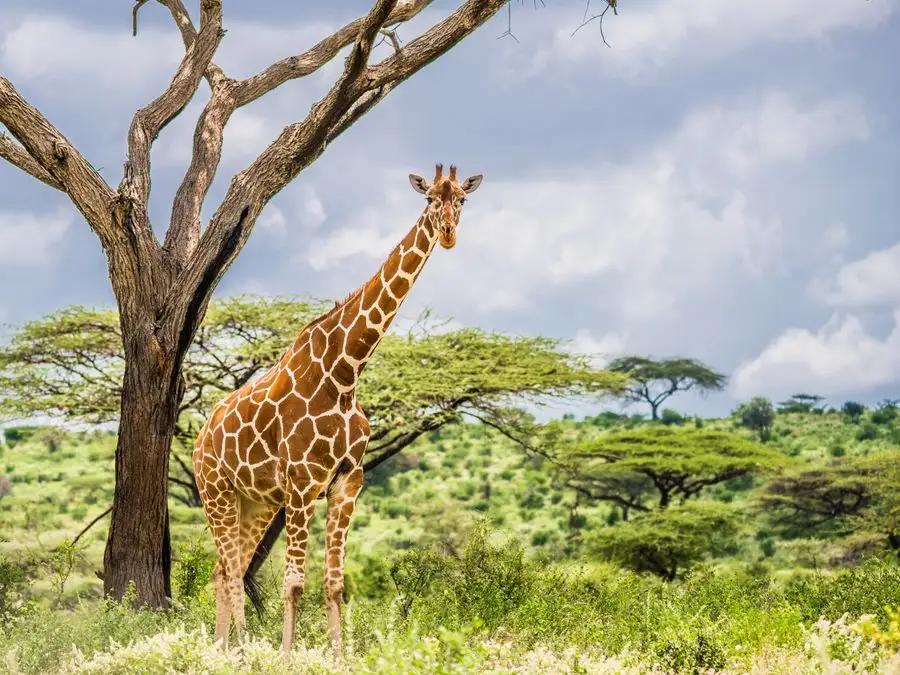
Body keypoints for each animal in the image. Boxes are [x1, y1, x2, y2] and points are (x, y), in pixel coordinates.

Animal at [192, 163, 483, 654]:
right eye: (429, 199)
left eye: (462, 199)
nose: (447, 234)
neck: (345, 373)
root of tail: (198, 439)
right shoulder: (303, 483)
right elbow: (293, 583)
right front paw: (287, 655)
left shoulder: (348, 481)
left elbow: (335, 583)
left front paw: (338, 653)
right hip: (216, 490)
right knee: (230, 570)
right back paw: (238, 649)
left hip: (256, 502)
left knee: (223, 569)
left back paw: (226, 648)